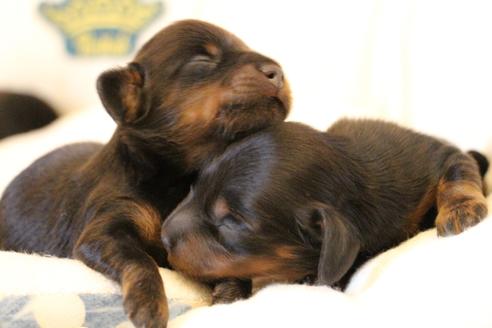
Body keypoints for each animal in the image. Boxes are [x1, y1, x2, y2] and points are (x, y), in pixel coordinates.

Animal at [0, 20, 290, 328]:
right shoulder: (107, 229)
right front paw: (149, 306)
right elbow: (140, 260)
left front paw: (232, 291)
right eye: (202, 61)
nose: (277, 72)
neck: (181, 177)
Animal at [162, 119, 488, 302]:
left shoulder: (437, 155)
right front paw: (231, 287)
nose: (163, 236)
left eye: (230, 221)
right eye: (194, 186)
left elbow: (457, 171)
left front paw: (462, 210)